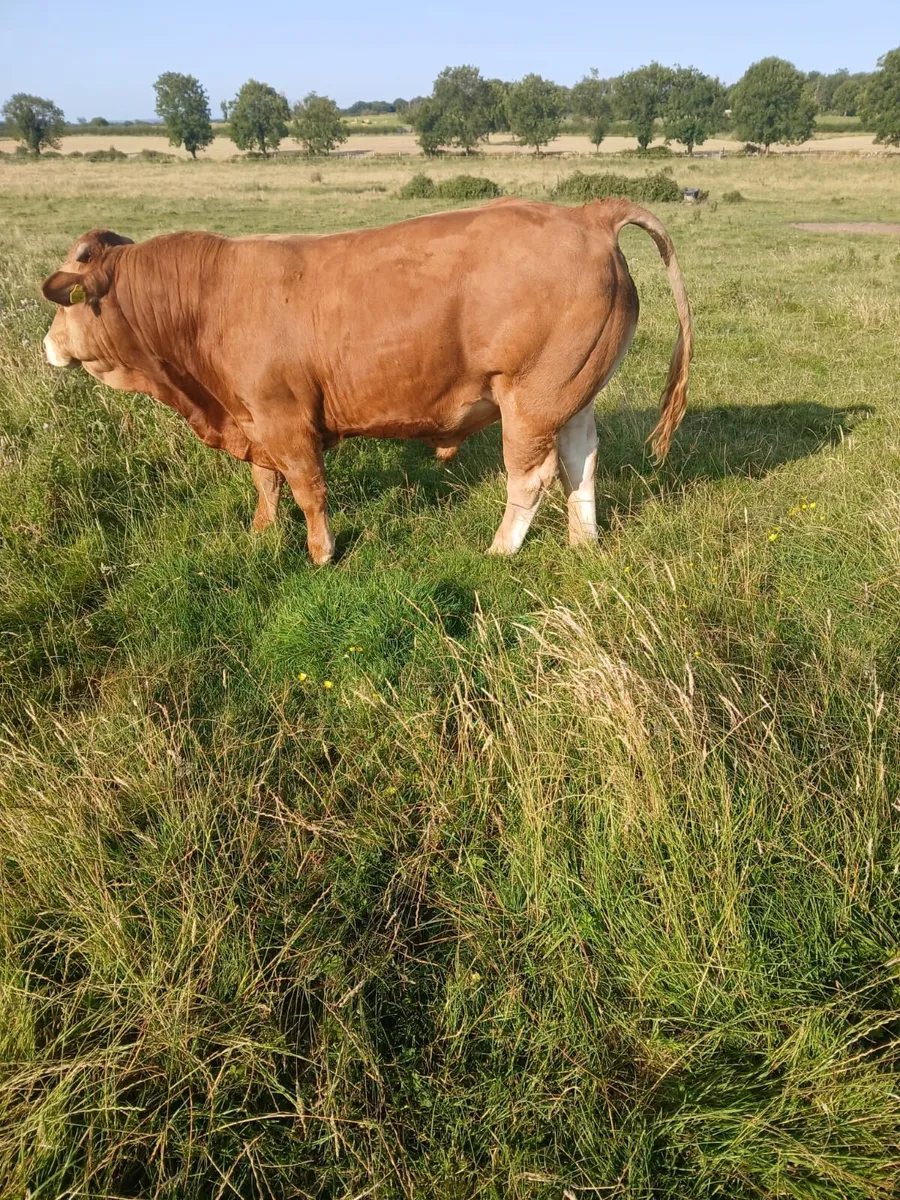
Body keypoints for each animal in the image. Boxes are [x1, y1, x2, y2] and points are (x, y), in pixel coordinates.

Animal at [41, 199, 692, 564]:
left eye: (65, 302)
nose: (47, 344)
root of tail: (587, 214)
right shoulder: (252, 416)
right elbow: (265, 482)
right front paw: (260, 534)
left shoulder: (283, 418)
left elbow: (307, 488)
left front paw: (320, 553)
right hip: (571, 394)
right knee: (582, 456)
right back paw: (583, 540)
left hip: (530, 398)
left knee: (532, 475)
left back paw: (501, 549)